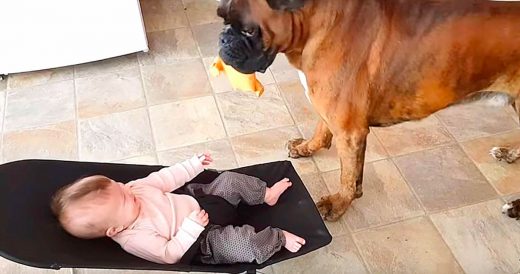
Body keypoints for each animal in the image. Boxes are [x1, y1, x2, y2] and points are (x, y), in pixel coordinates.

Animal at [215, 0, 520, 219]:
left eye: (249, 30)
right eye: (222, 18)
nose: (222, 39)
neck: (316, 25)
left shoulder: (350, 132)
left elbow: (348, 176)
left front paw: (338, 204)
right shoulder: (330, 109)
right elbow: (321, 129)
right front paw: (306, 148)